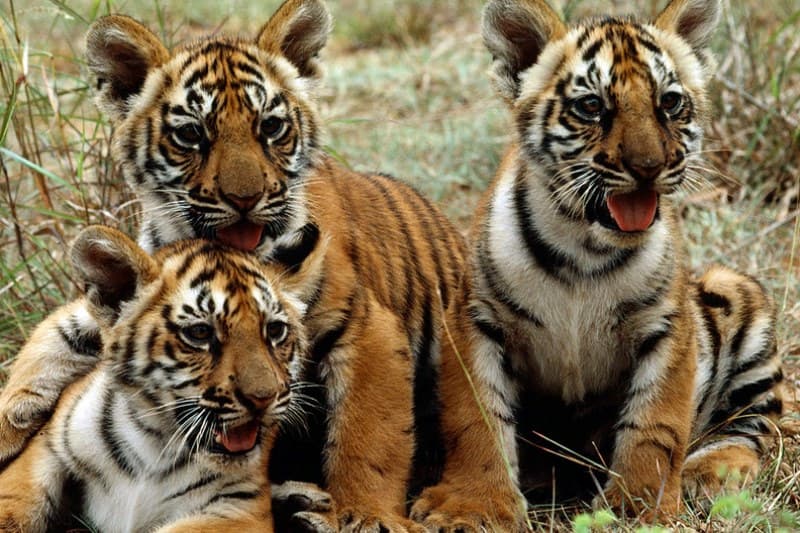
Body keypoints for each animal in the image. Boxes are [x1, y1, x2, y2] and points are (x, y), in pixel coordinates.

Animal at [0, 225, 310, 532]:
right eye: (200, 333)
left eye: (275, 330)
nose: (263, 399)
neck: (154, 443)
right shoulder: (45, 449)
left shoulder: (240, 507)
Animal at [414, 0, 784, 522]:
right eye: (591, 106)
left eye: (670, 102)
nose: (649, 167)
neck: (584, 248)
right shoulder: (474, 318)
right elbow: (478, 419)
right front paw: (475, 505)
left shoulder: (667, 326)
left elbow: (655, 425)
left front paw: (640, 509)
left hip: (735, 293)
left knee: (754, 423)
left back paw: (709, 473)